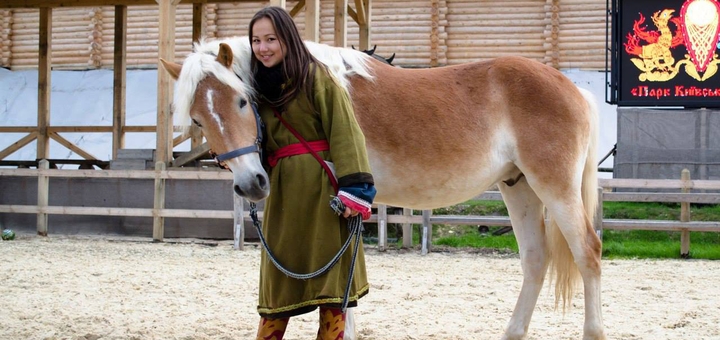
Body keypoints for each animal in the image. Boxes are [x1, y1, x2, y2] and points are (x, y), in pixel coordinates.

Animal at [160, 37, 604, 340]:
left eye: (240, 101)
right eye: (198, 119)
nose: (249, 184)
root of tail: (575, 89)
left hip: (554, 188)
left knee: (587, 252)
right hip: (519, 187)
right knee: (535, 259)